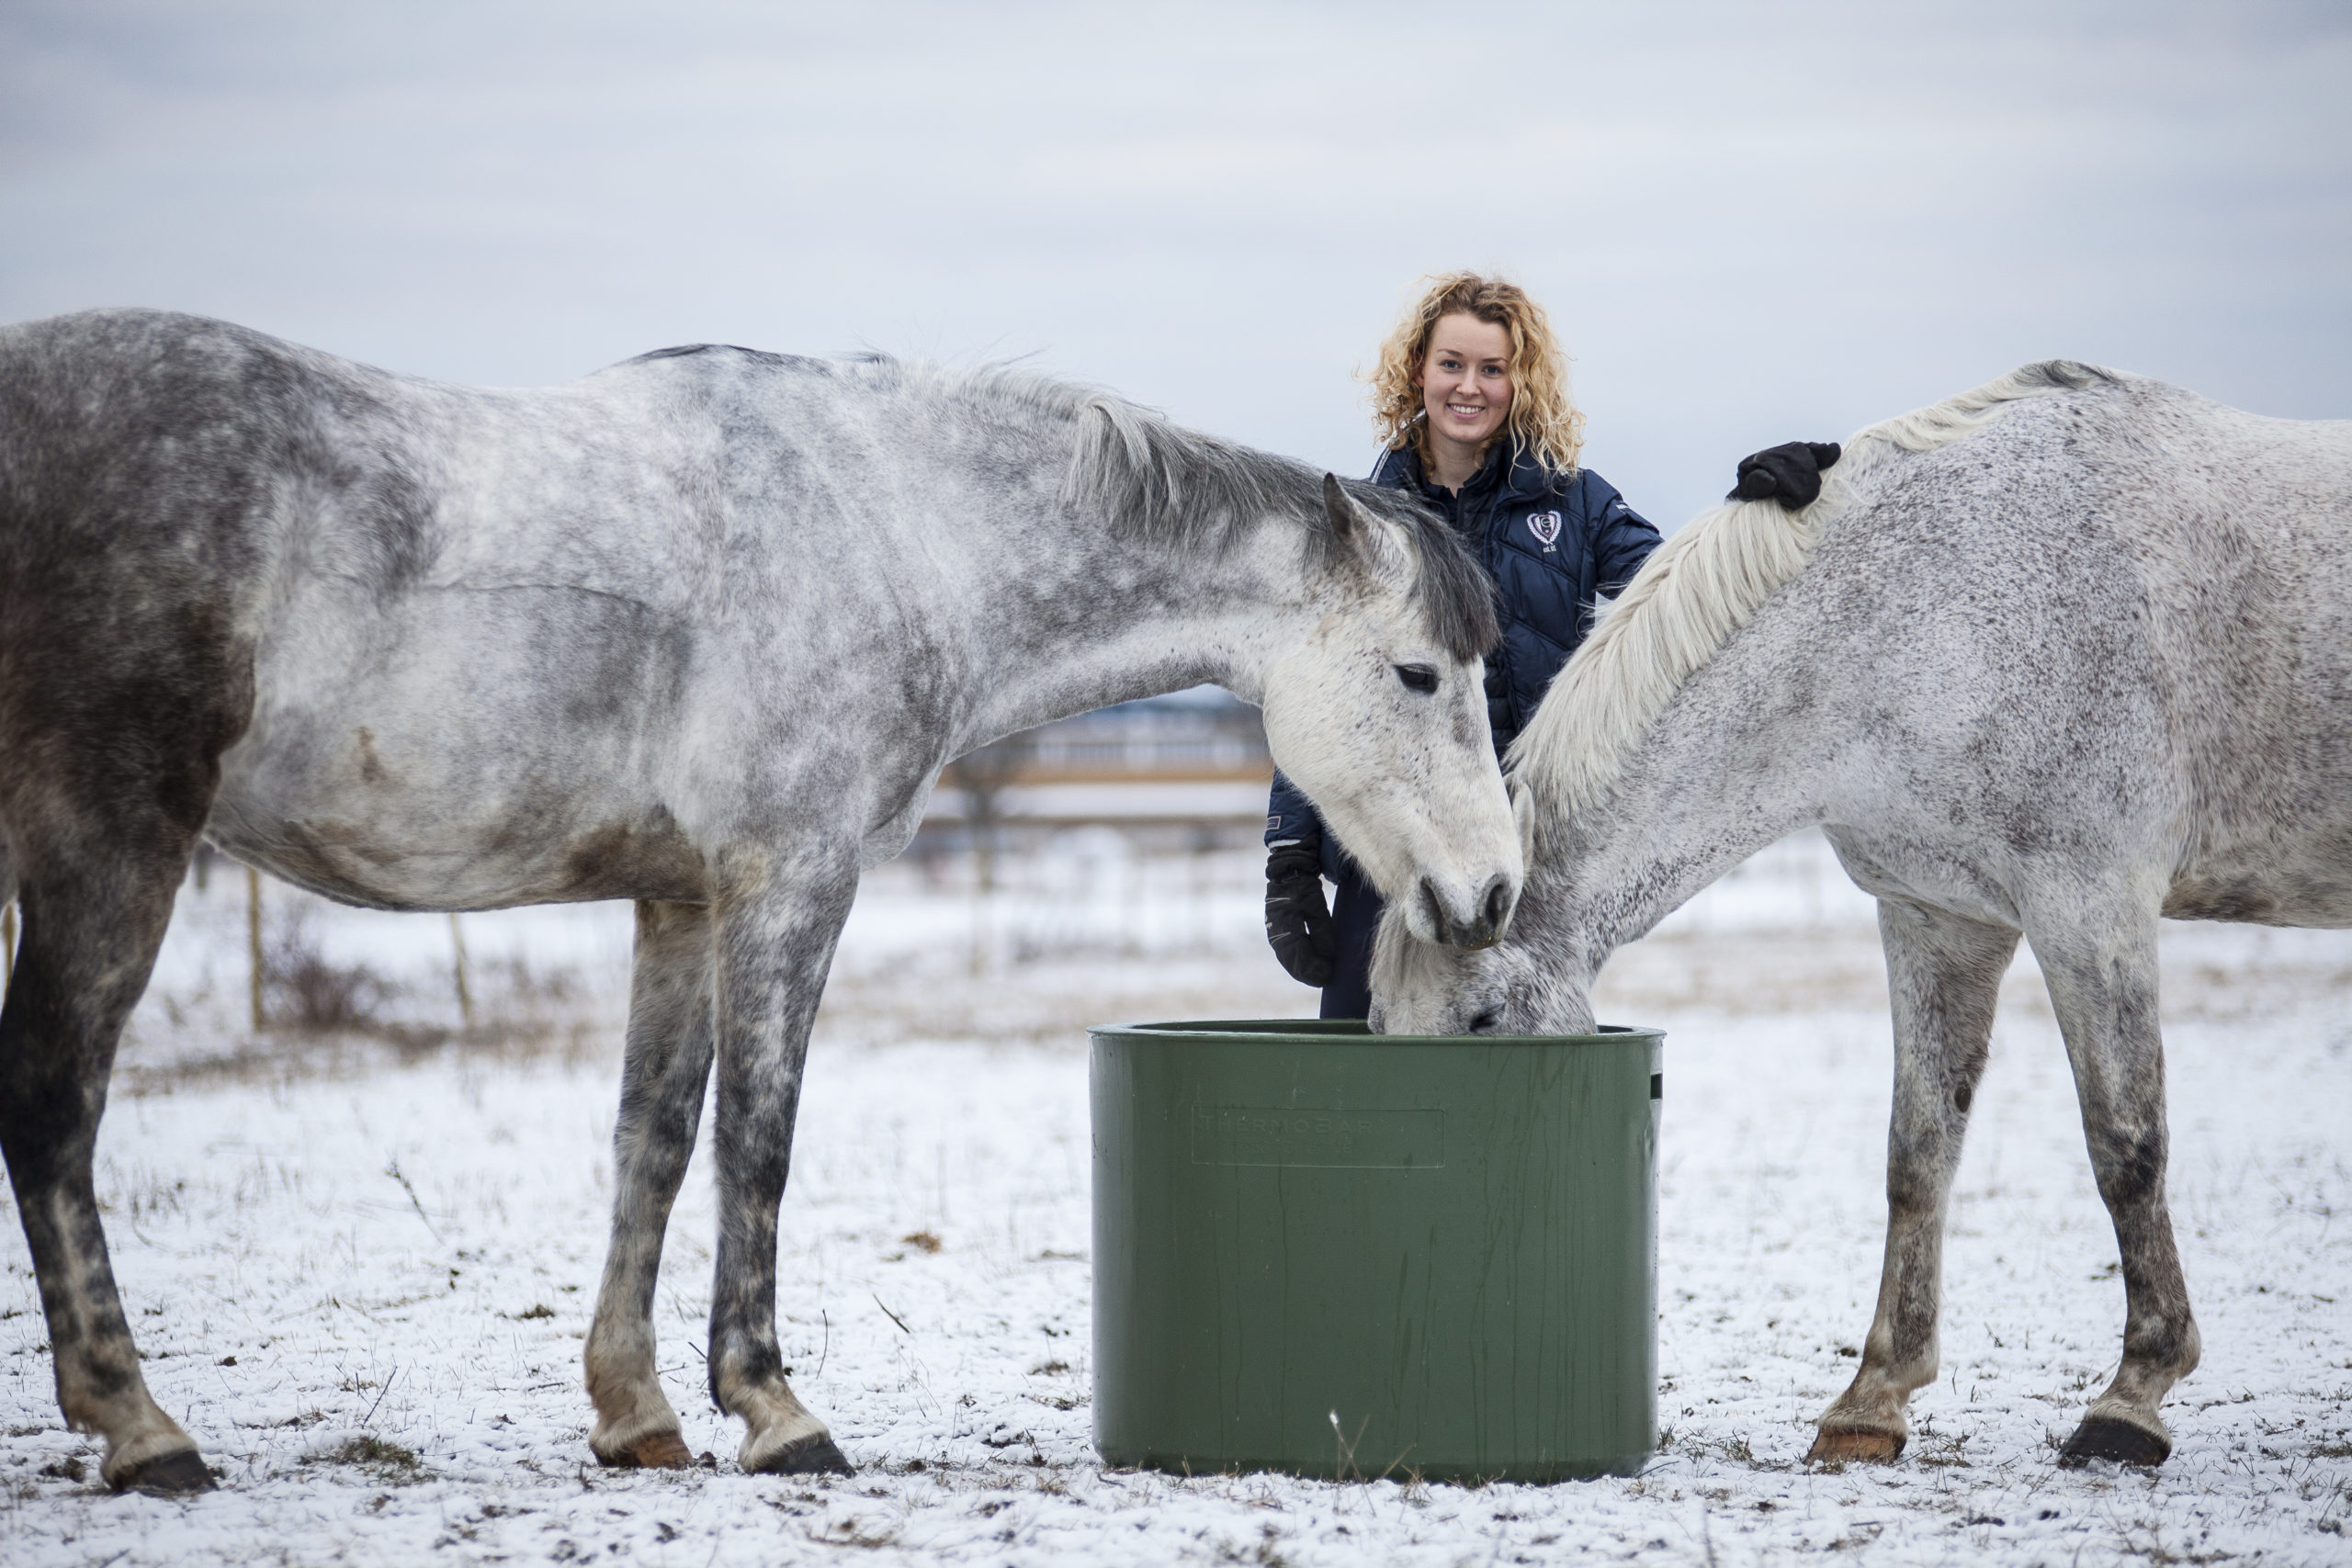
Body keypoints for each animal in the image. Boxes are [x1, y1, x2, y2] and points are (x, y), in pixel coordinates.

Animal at [0, 310, 1523, 1495]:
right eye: (1418, 674)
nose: (1496, 887)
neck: (901, 530)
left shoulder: (678, 900)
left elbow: (656, 1137)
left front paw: (638, 1411)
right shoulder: (791, 882)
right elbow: (758, 1138)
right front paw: (776, 1408)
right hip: (110, 839)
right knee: (52, 1100)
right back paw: (144, 1428)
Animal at [1374, 364, 2352, 1476]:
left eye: (1483, 1022)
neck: (1918, 620)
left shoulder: (2090, 903)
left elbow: (2125, 1143)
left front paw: (2131, 1397)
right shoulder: (1936, 917)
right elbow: (1917, 1151)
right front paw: (1872, 1400)